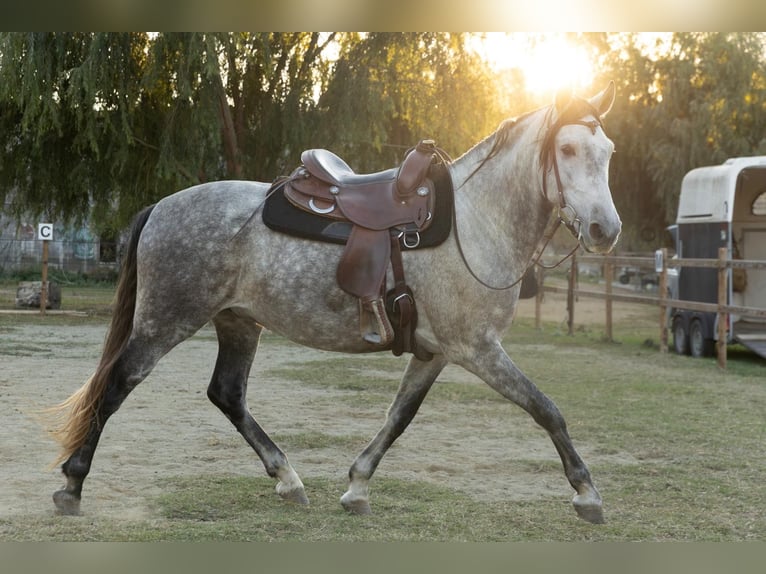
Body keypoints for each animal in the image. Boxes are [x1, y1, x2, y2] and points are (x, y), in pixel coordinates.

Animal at [45, 82, 620, 524]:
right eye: (567, 150)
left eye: (609, 151)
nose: (605, 230)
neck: (473, 224)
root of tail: (163, 205)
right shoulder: (477, 349)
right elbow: (547, 410)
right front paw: (587, 493)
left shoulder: (435, 352)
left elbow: (398, 416)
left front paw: (357, 487)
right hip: (166, 321)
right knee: (117, 384)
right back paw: (72, 486)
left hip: (238, 322)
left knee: (227, 394)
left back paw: (288, 479)